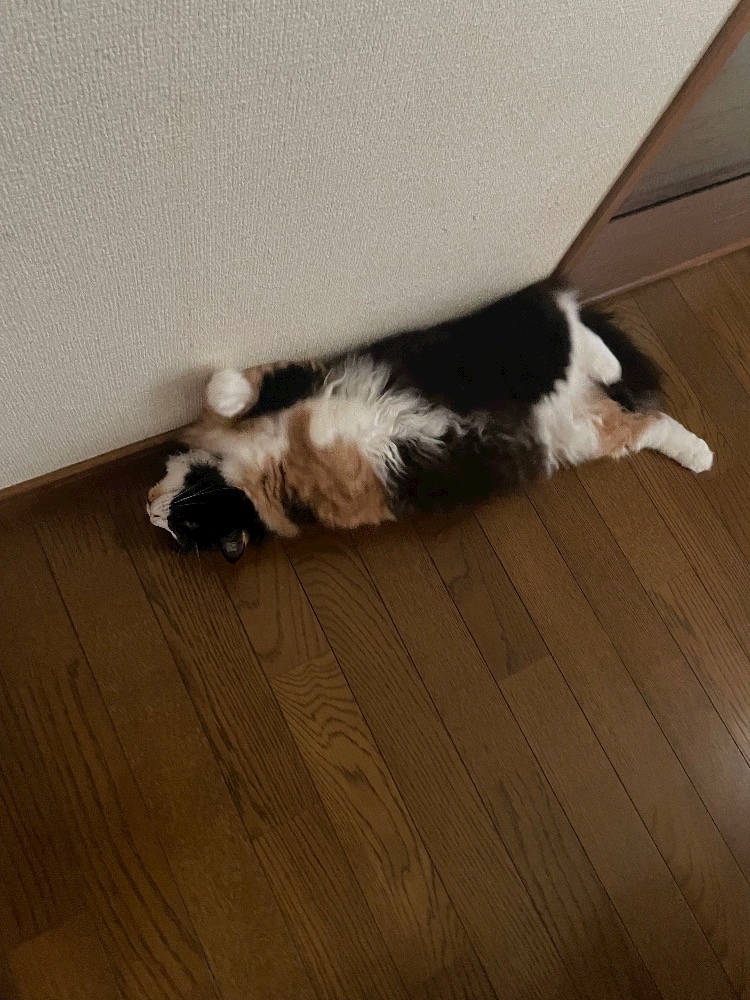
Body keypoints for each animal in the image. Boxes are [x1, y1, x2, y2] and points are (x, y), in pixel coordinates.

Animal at [147, 279, 713, 562]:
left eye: (186, 525)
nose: (151, 513)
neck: (244, 467)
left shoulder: (292, 378)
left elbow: (230, 389)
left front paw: (315, 427)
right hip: (585, 435)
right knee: (648, 422)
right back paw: (700, 455)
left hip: (504, 349)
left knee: (563, 313)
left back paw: (608, 361)